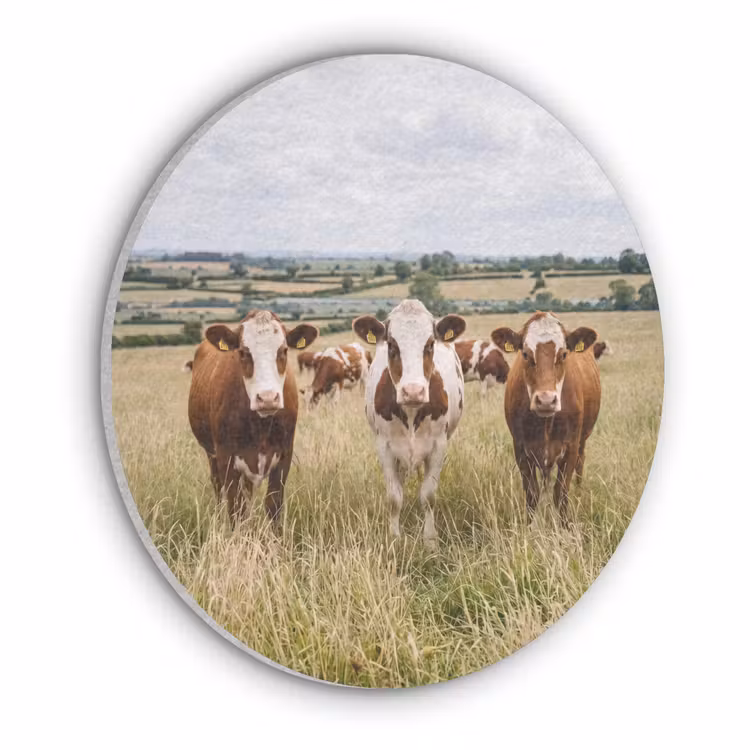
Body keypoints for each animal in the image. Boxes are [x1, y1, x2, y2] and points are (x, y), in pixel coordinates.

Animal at [187, 310, 318, 526]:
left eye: (283, 351)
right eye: (243, 352)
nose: (267, 398)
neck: (260, 425)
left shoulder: (284, 456)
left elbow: (273, 505)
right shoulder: (226, 459)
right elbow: (236, 510)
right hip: (211, 455)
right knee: (218, 488)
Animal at [353, 300, 466, 547]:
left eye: (430, 344)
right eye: (392, 346)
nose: (413, 391)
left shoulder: (438, 446)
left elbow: (428, 495)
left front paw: (430, 540)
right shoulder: (385, 447)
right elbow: (394, 497)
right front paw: (395, 537)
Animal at [491, 312, 600, 524]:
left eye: (564, 354)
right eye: (525, 354)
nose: (546, 400)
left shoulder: (571, 447)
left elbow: (561, 492)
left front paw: (565, 526)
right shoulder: (521, 449)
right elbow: (532, 494)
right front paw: (529, 527)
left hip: (583, 440)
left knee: (581, 463)